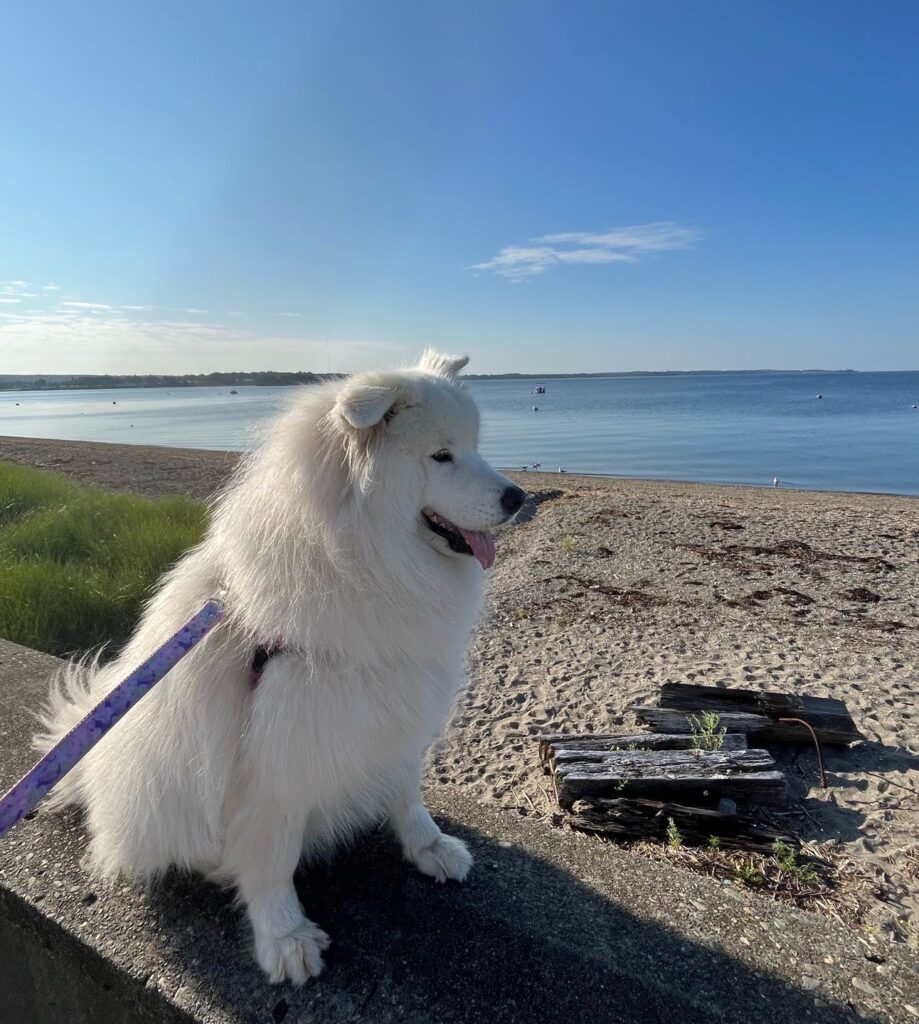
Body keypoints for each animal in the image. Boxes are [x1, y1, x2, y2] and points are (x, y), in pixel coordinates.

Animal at [34, 350, 524, 983]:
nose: (518, 497)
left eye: (476, 447)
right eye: (442, 455)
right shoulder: (276, 751)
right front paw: (284, 937)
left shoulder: (394, 706)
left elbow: (406, 792)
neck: (369, 561)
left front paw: (429, 846)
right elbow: (271, 857)